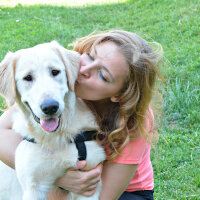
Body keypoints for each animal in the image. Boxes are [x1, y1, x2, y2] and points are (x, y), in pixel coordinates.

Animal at [0, 41, 105, 199]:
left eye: (55, 72)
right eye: (28, 77)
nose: (50, 107)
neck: (57, 136)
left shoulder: (90, 183)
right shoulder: (33, 187)